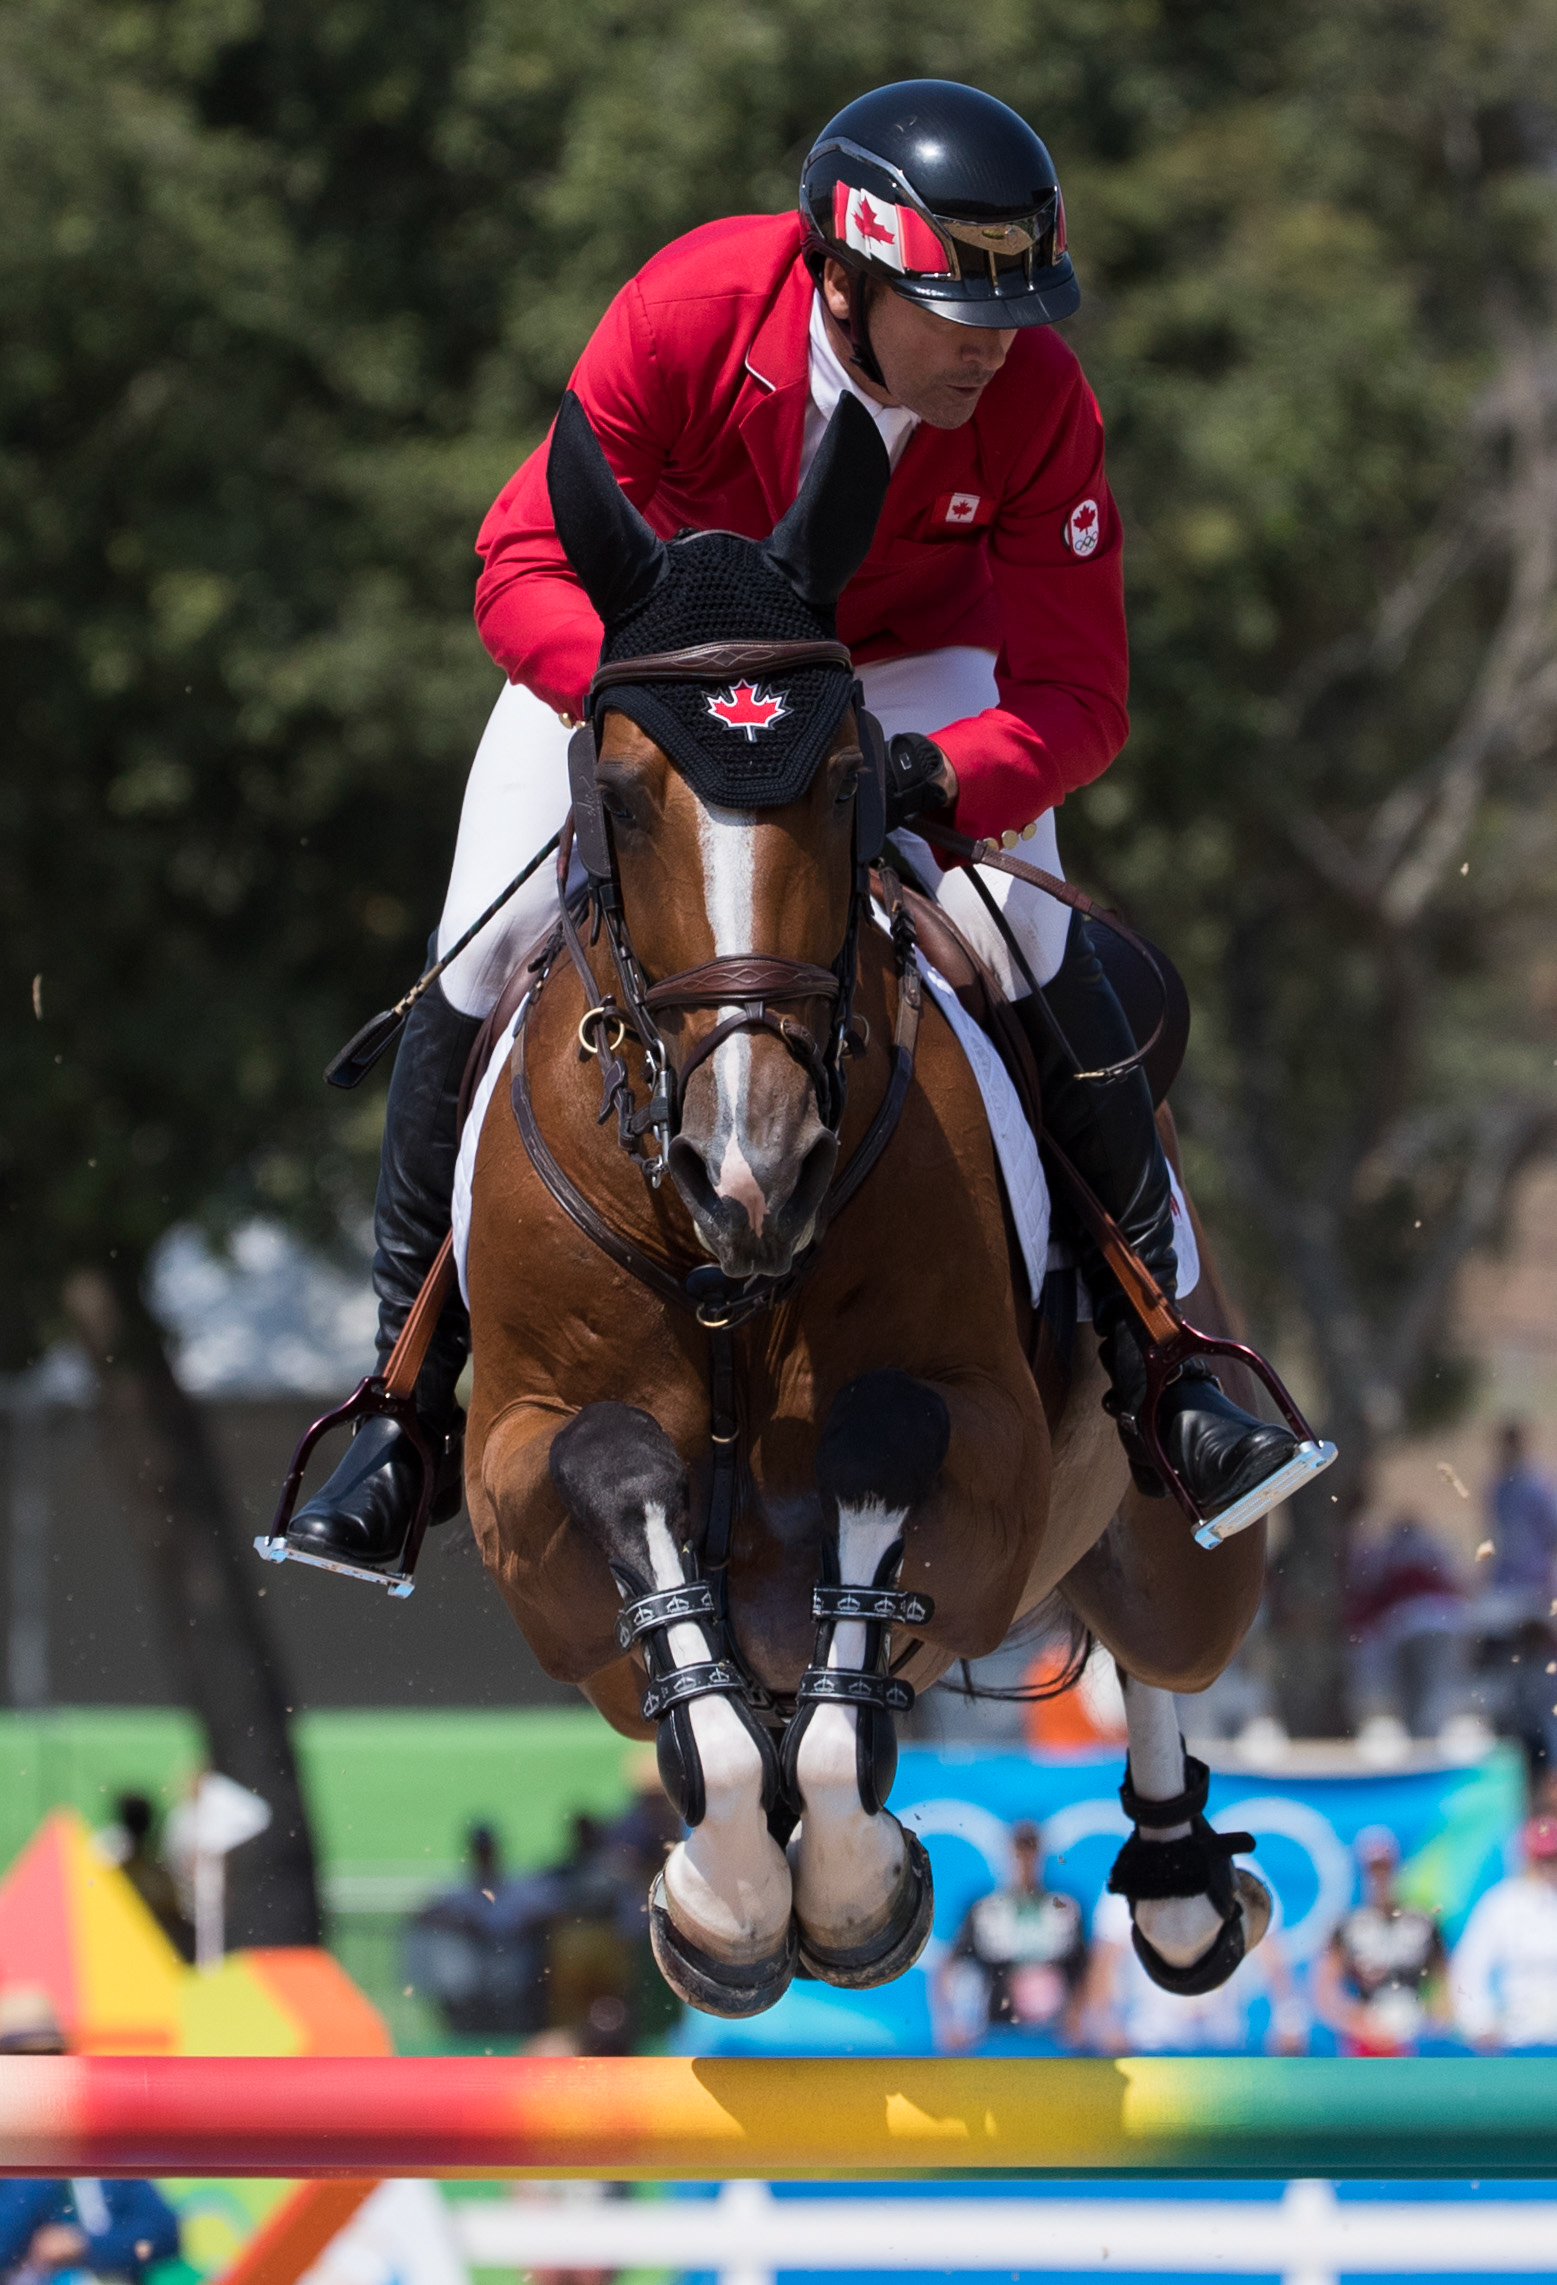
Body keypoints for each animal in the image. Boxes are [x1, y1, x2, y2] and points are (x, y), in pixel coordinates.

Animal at [454, 397, 1271, 2019]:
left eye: (847, 785)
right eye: (617, 797)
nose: (753, 1169)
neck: (734, 1270)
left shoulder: (994, 1457)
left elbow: (885, 1450)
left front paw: (840, 1889)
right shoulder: (518, 1484)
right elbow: (619, 1473)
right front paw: (726, 1903)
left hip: (1178, 1540)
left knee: (1157, 1633)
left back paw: (1176, 1874)